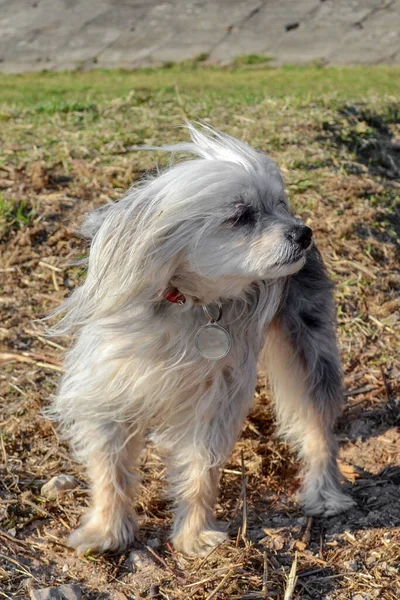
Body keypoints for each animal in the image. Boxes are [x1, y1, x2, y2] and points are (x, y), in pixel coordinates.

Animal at [50, 123, 354, 556]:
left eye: (279, 203)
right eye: (241, 215)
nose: (303, 232)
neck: (188, 300)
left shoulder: (214, 399)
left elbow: (200, 470)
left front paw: (194, 536)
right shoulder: (107, 391)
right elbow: (109, 469)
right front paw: (105, 531)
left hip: (309, 350)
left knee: (317, 425)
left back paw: (324, 492)